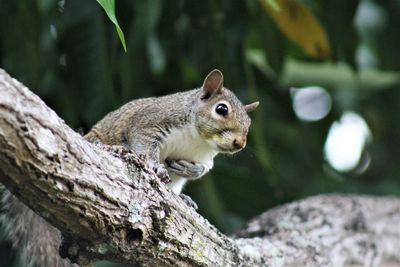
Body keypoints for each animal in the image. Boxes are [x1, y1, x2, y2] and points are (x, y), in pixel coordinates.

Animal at [0, 69, 260, 267]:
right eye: (221, 109)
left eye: (249, 123)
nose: (240, 143)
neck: (198, 140)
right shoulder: (151, 123)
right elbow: (145, 145)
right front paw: (156, 167)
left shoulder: (206, 158)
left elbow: (203, 169)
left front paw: (189, 170)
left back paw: (184, 199)